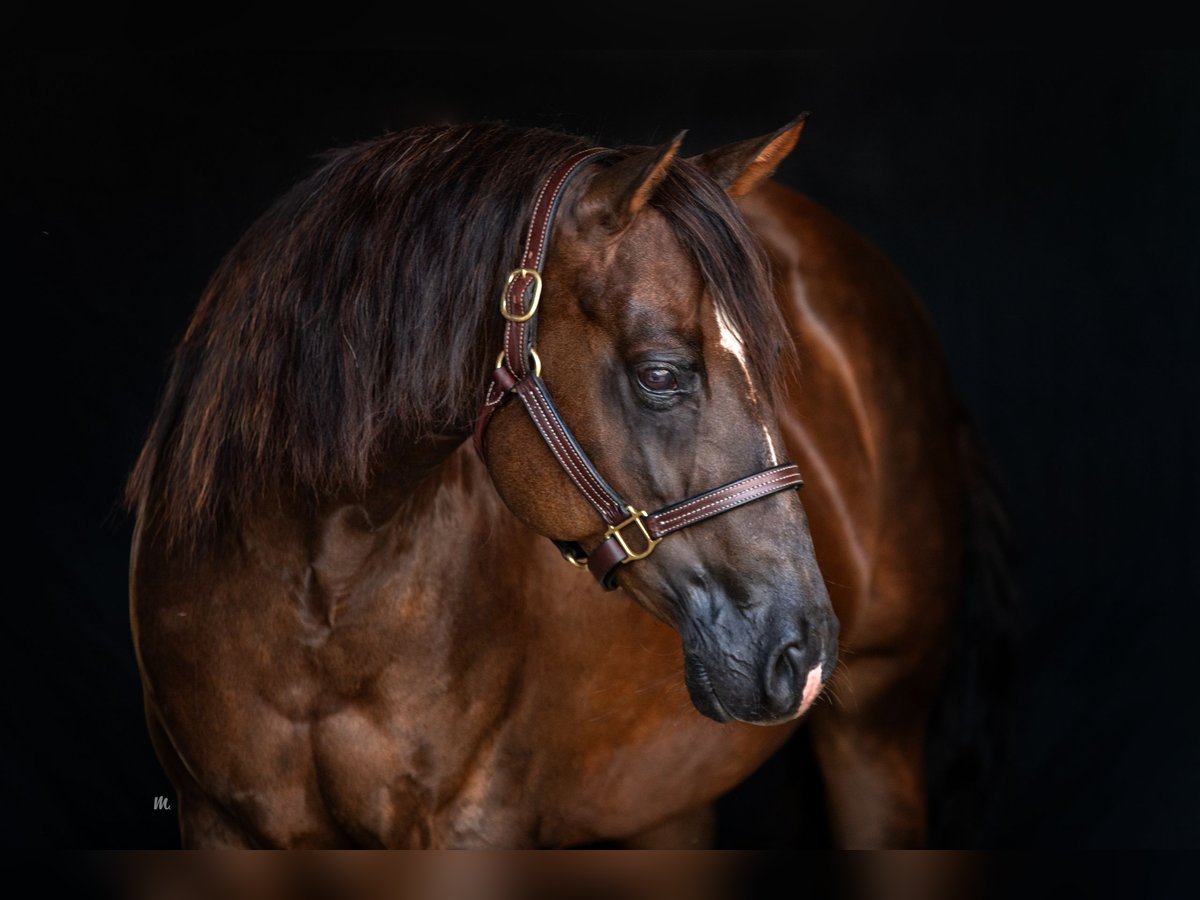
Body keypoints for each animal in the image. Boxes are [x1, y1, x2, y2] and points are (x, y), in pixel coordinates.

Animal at [126, 118, 1012, 844]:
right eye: (661, 373)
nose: (804, 649)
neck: (318, 588)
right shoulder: (217, 824)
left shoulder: (473, 827)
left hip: (877, 736)